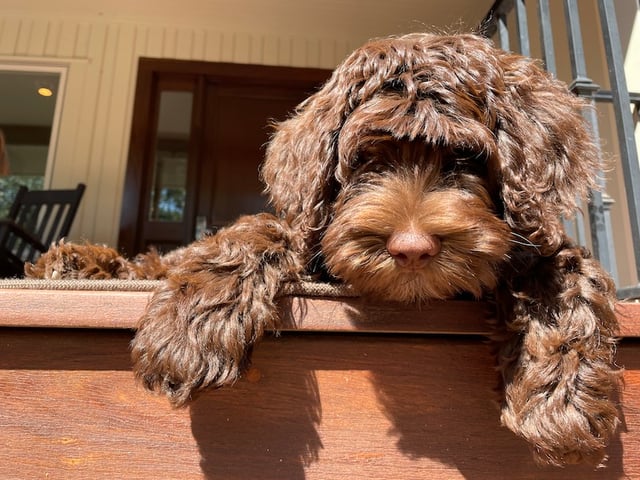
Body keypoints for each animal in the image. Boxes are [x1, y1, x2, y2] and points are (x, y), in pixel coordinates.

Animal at [26, 32, 620, 464]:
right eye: (366, 161)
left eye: (464, 160)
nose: (412, 247)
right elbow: (266, 228)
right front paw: (191, 331)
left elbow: (563, 269)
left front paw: (563, 396)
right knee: (158, 259)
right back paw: (74, 262)